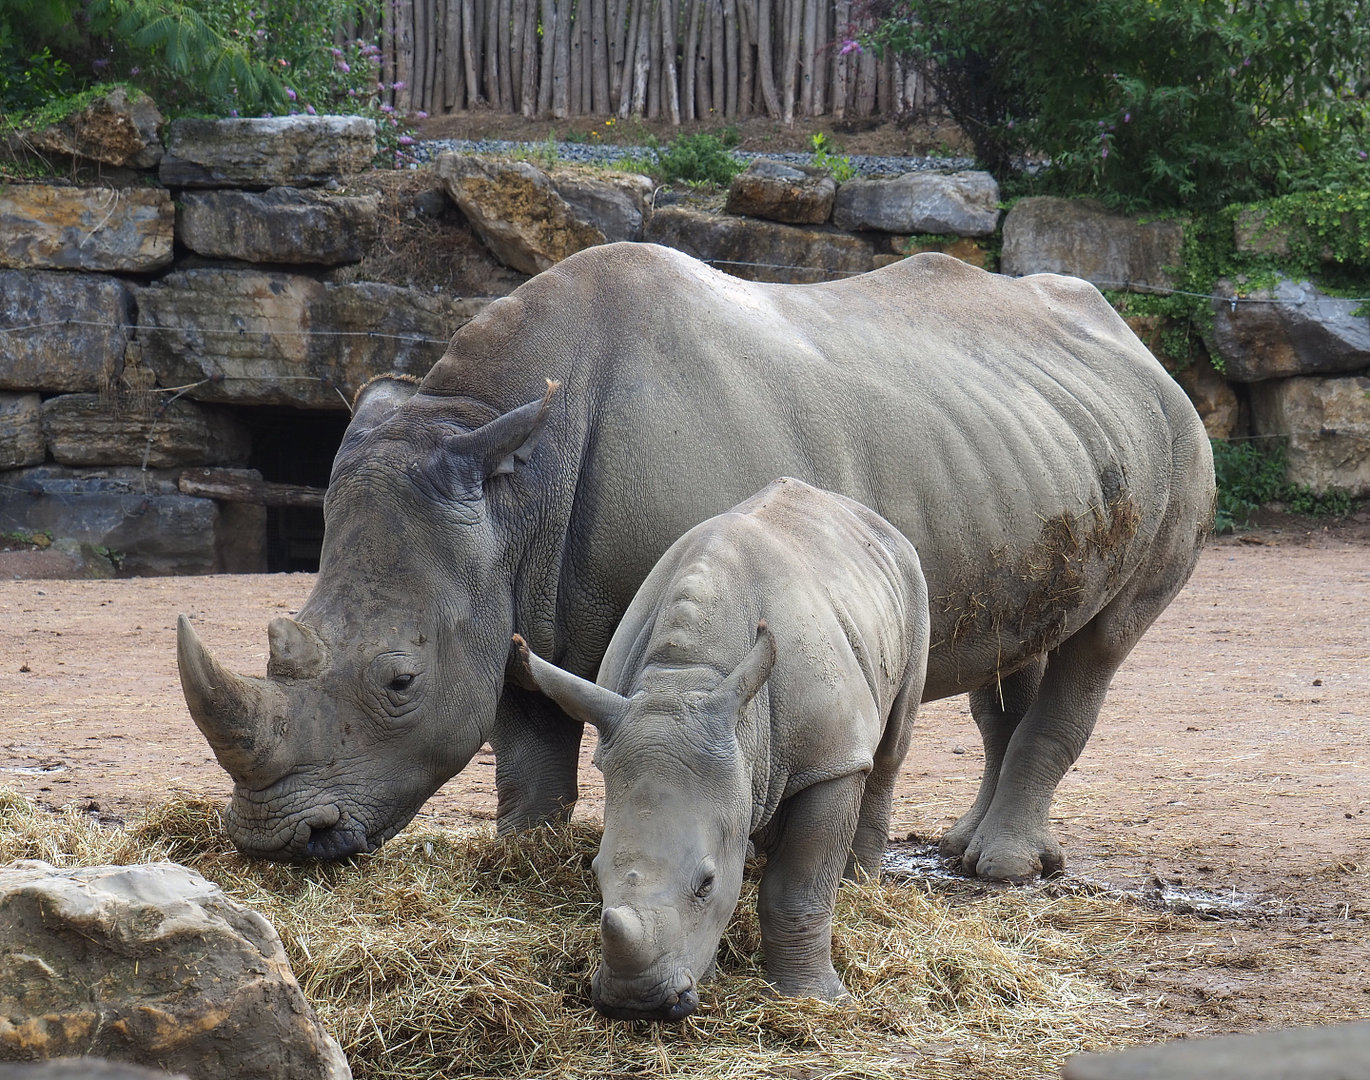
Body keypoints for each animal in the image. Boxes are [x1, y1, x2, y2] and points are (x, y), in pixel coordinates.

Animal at [177, 242, 1215, 881]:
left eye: (399, 681)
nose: (276, 841)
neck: (513, 486)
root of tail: (1135, 343)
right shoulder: (510, 598)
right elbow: (527, 759)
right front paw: (520, 856)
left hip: (1179, 441)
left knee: (1101, 646)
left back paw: (999, 869)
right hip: (1031, 443)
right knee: (1022, 642)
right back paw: (969, 849)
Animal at [511, 477, 930, 1019]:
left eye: (706, 883)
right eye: (595, 872)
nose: (636, 1003)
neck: (685, 680)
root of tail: (868, 519)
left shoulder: (831, 759)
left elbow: (798, 888)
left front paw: (811, 998)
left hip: (913, 583)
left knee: (889, 752)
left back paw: (859, 889)